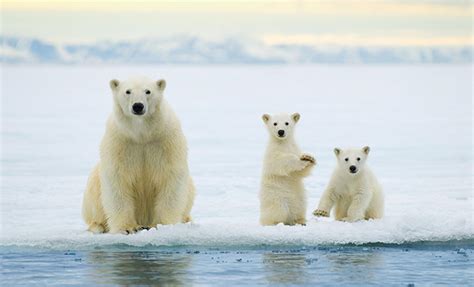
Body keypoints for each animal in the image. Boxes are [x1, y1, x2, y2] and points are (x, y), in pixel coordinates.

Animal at [81, 76, 194, 234]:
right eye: (127, 91)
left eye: (148, 91)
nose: (138, 106)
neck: (142, 135)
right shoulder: (120, 143)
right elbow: (117, 181)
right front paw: (128, 228)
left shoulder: (165, 142)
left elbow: (170, 179)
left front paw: (162, 225)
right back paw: (98, 226)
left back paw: (186, 220)